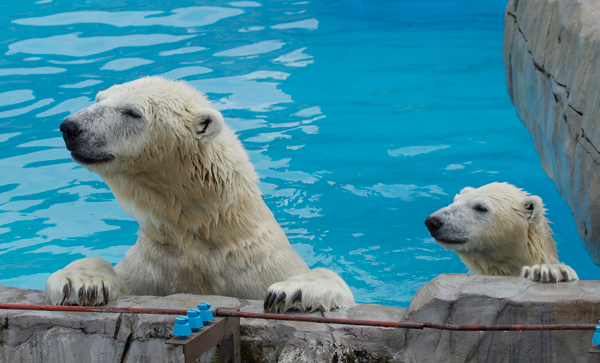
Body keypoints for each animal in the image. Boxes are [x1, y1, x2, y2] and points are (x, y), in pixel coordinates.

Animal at [49, 76, 356, 312]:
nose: (70, 127)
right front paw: (80, 284)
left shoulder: (257, 267)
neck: (202, 234)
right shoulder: (154, 266)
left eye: (133, 112)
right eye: (98, 98)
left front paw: (293, 291)